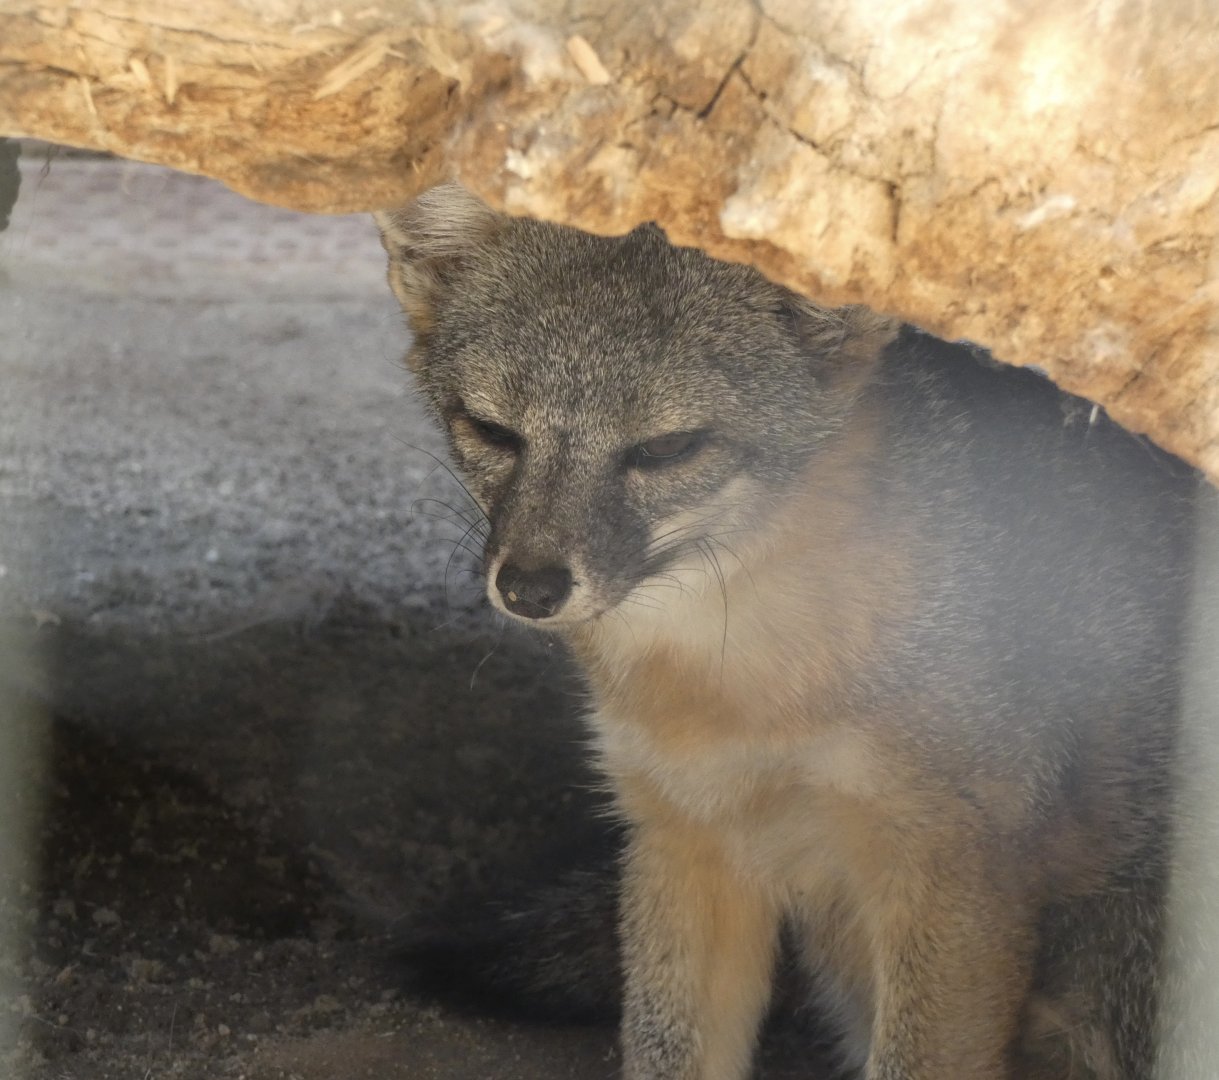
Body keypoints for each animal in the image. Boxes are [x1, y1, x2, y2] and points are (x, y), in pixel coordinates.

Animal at [373, 183, 1196, 1080]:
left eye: (665, 449)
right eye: (493, 431)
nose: (528, 588)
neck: (738, 692)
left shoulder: (951, 878)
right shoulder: (682, 837)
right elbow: (666, 1051)